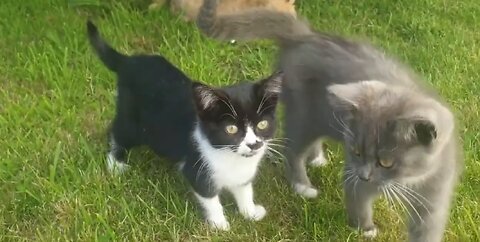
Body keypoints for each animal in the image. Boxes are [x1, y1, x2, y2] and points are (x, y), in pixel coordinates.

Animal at [86, 21, 282, 231]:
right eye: (231, 129)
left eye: (262, 124)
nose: (254, 144)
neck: (230, 156)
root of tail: (130, 61)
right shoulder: (197, 167)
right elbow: (210, 197)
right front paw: (220, 225)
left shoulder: (243, 173)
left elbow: (244, 189)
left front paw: (250, 212)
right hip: (134, 121)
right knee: (118, 131)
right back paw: (115, 163)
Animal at [196, 0, 464, 241]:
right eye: (356, 152)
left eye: (386, 162)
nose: (365, 174)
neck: (409, 179)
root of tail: (307, 36)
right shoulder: (356, 174)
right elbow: (357, 196)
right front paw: (365, 229)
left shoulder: (437, 188)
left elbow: (429, 224)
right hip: (304, 112)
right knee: (293, 148)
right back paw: (303, 185)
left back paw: (317, 159)